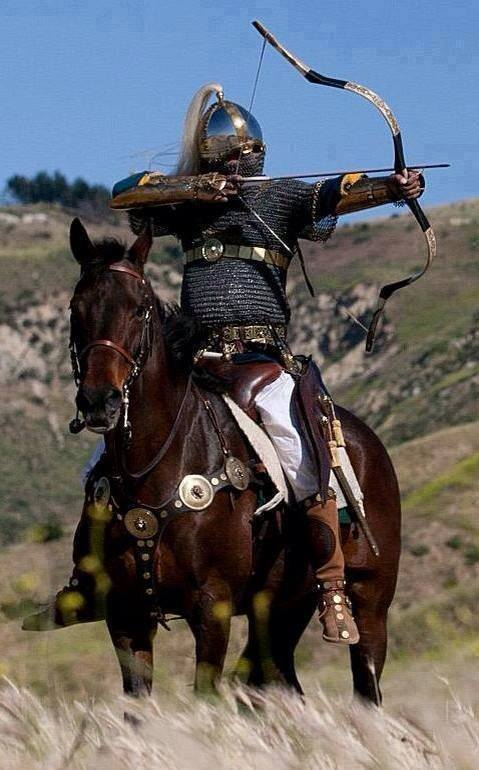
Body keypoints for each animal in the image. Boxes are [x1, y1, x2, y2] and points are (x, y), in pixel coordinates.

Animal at [68, 216, 402, 704]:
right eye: (76, 310)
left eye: (139, 309)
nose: (99, 402)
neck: (154, 468)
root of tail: (366, 442)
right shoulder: (127, 616)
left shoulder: (213, 607)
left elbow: (206, 694)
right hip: (283, 606)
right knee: (279, 677)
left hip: (372, 601)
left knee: (368, 684)